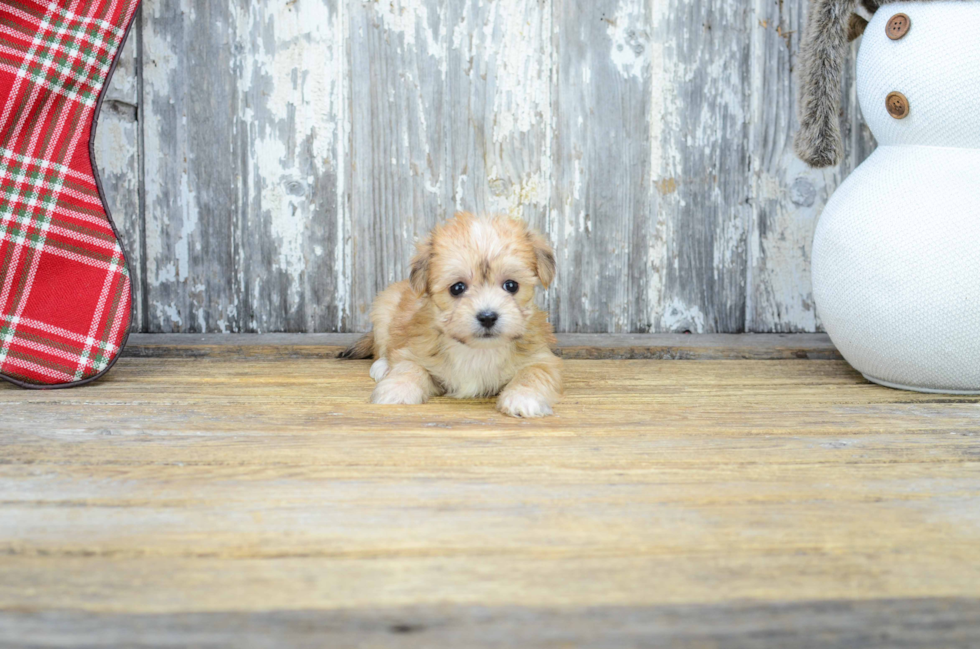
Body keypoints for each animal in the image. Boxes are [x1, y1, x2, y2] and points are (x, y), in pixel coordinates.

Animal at [340, 210, 564, 418]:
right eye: (457, 288)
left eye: (511, 286)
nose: (488, 317)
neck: (478, 351)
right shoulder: (415, 351)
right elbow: (409, 367)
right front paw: (397, 389)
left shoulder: (540, 357)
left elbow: (533, 373)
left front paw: (524, 397)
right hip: (383, 309)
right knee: (382, 346)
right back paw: (382, 366)